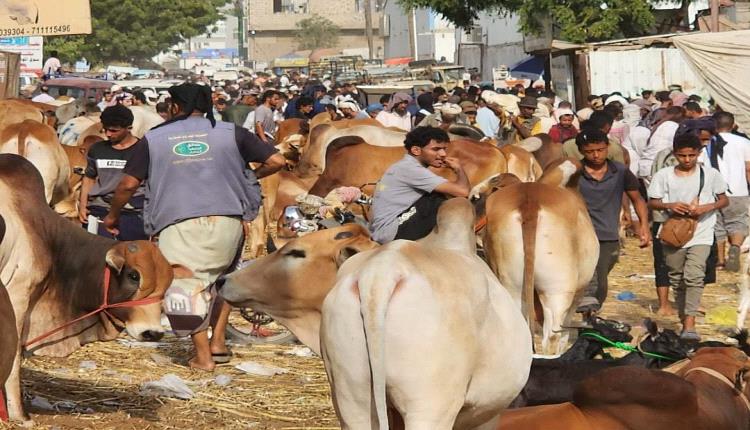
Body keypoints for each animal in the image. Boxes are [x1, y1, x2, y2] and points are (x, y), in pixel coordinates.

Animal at [0, 155, 173, 424]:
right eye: (134, 276)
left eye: (168, 284)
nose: (152, 333)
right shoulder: (17, 297)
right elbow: (14, 359)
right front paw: (19, 415)